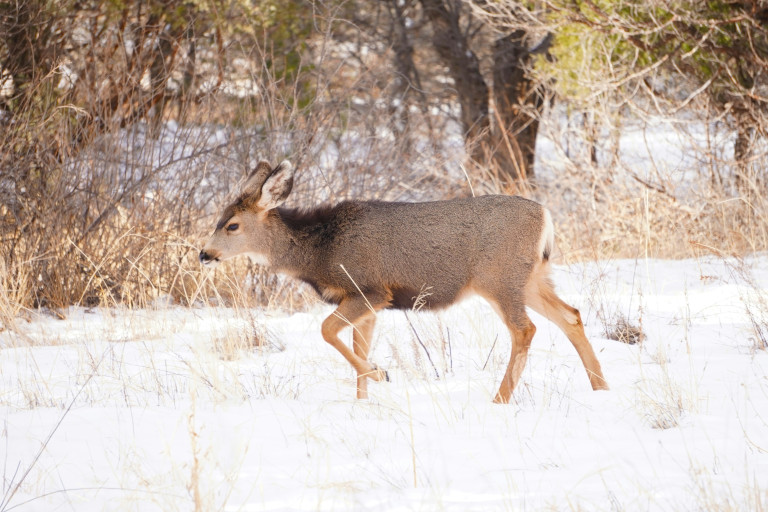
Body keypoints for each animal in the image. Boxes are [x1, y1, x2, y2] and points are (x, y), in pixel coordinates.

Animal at [199, 160, 608, 403]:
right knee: (571, 315)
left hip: (499, 277)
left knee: (525, 329)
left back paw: (500, 399)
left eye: (232, 225)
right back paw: (601, 387)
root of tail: (546, 216)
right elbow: (357, 345)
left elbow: (327, 331)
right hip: (532, 277)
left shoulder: (370, 290)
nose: (204, 254)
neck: (321, 250)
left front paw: (380, 373)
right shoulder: (366, 302)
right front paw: (363, 401)